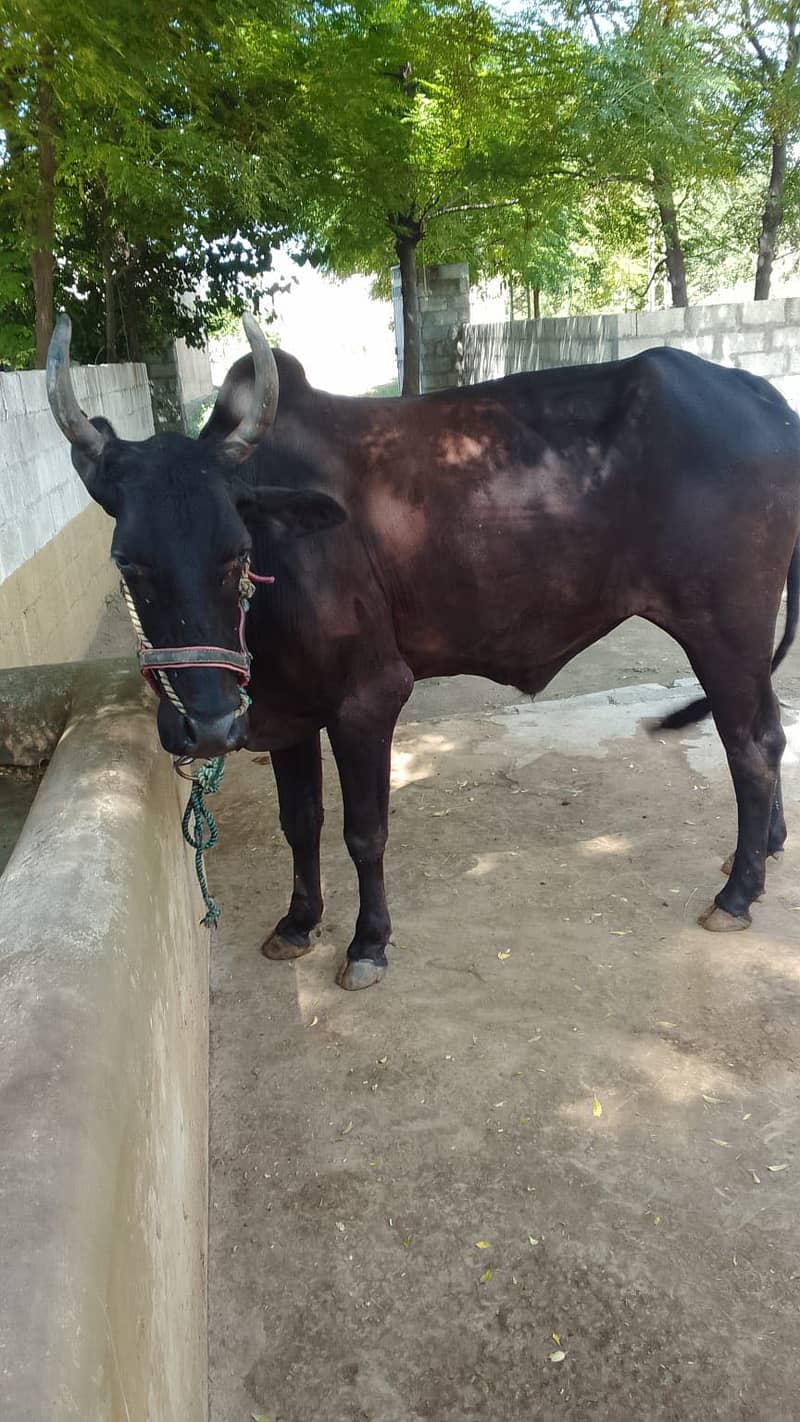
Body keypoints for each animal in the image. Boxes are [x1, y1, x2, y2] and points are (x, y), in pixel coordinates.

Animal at [46, 313, 800, 990]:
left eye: (237, 552)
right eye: (127, 561)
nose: (205, 726)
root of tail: (762, 398)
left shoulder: (368, 697)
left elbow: (364, 832)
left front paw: (367, 944)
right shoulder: (282, 712)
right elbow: (301, 822)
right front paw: (298, 923)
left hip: (725, 626)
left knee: (752, 741)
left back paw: (738, 891)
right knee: (765, 730)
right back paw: (765, 849)